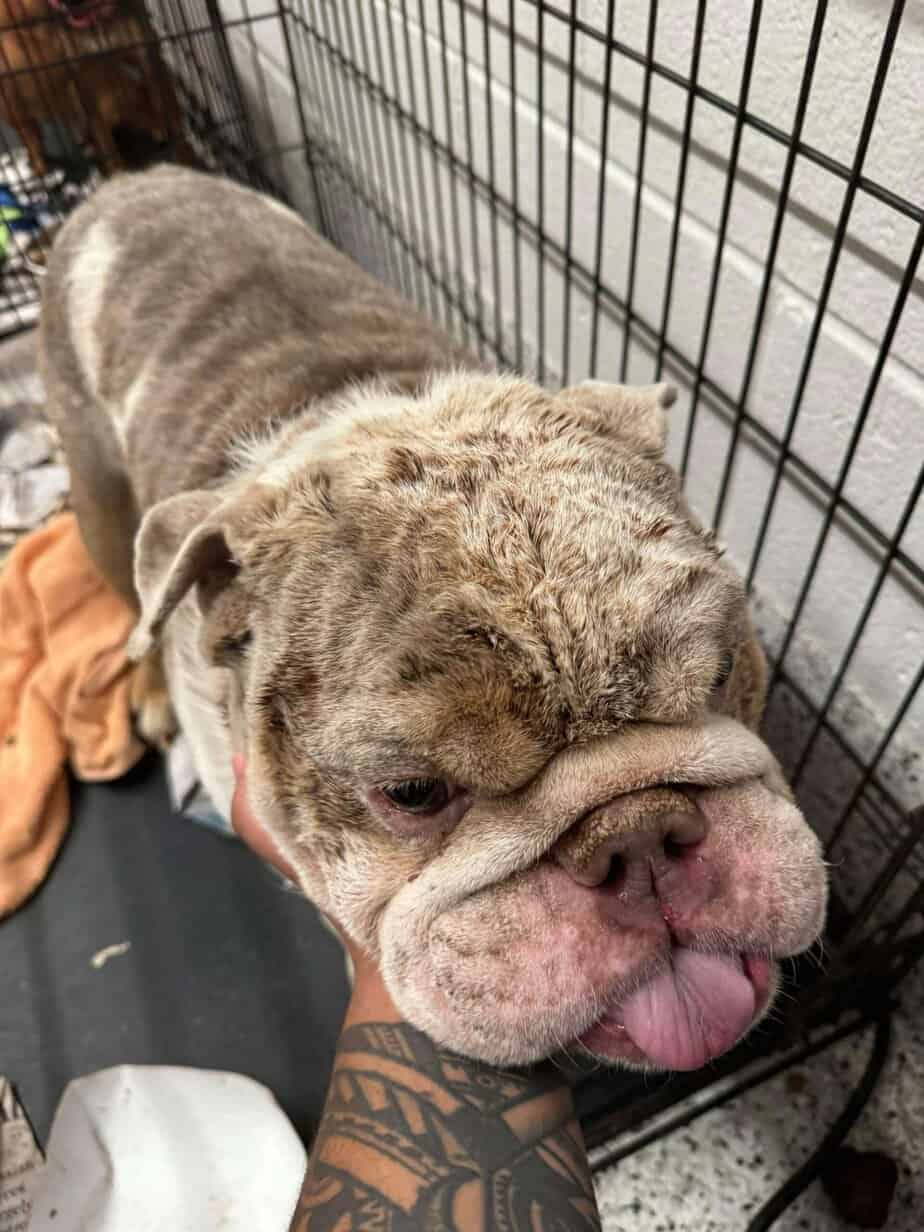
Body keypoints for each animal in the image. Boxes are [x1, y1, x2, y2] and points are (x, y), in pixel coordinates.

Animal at [38, 166, 827, 1069]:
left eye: (728, 671)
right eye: (413, 793)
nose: (638, 831)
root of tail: (136, 181)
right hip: (100, 497)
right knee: (130, 598)